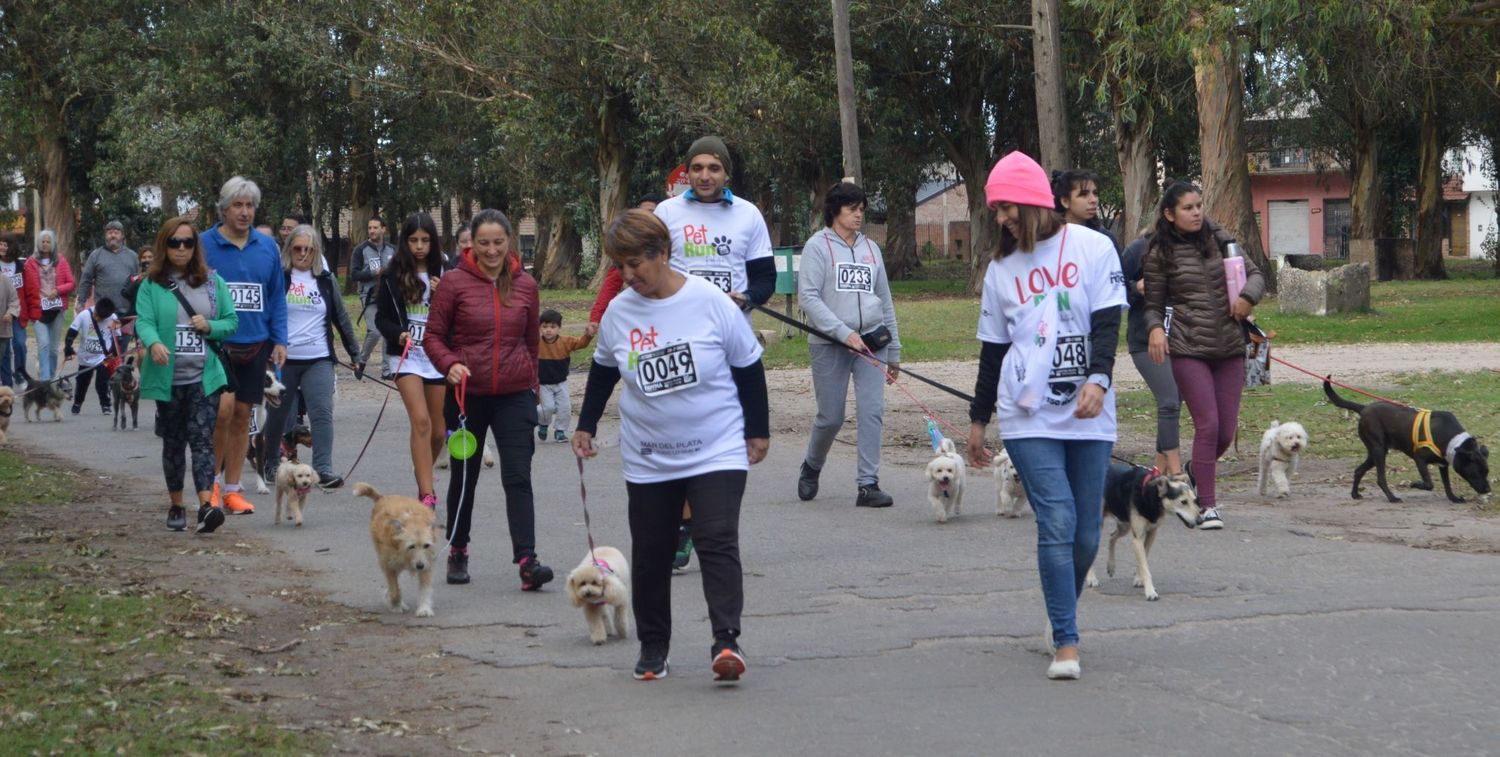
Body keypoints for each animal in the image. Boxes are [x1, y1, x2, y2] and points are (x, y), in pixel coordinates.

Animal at [355, 479, 438, 617]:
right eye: (411, 546)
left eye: (426, 545)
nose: (419, 566)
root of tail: (383, 498)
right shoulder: (388, 565)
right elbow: (394, 589)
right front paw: (395, 604)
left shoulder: (427, 562)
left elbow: (424, 588)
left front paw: (424, 608)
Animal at [1086, 464, 1200, 599]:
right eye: (1183, 502)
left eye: (1194, 500)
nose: (1200, 520)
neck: (1150, 494)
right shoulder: (1138, 538)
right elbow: (1145, 567)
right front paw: (1150, 591)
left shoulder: (1152, 533)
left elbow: (1143, 559)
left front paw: (1138, 579)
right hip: (1098, 524)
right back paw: (1091, 578)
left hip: (1124, 525)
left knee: (1112, 537)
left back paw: (1111, 566)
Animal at [1326, 380, 1488, 503]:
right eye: (1475, 473)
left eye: (1487, 472)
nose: (1488, 489)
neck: (1452, 439)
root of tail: (1364, 408)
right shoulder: (1419, 459)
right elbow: (1429, 484)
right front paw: (1415, 484)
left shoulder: (1443, 464)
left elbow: (1447, 485)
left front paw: (1453, 498)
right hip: (1378, 451)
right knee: (1380, 478)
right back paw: (1392, 498)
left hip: (1375, 452)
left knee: (1359, 470)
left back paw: (1355, 494)